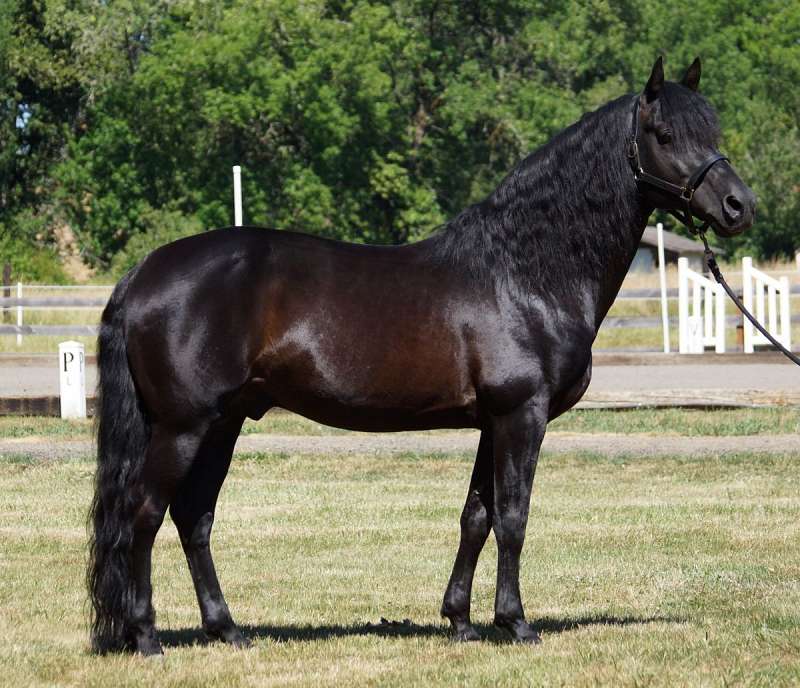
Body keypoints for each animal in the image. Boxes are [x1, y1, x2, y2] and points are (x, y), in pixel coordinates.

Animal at [88, 57, 755, 655]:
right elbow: (513, 516)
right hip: (183, 426)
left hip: (222, 424)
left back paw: (227, 630)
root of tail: (143, 274)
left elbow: (476, 517)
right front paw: (515, 623)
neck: (523, 273)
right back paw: (146, 637)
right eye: (664, 135)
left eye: (711, 131)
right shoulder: (522, 415)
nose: (738, 207)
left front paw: (460, 621)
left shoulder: (492, 422)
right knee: (145, 514)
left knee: (193, 518)